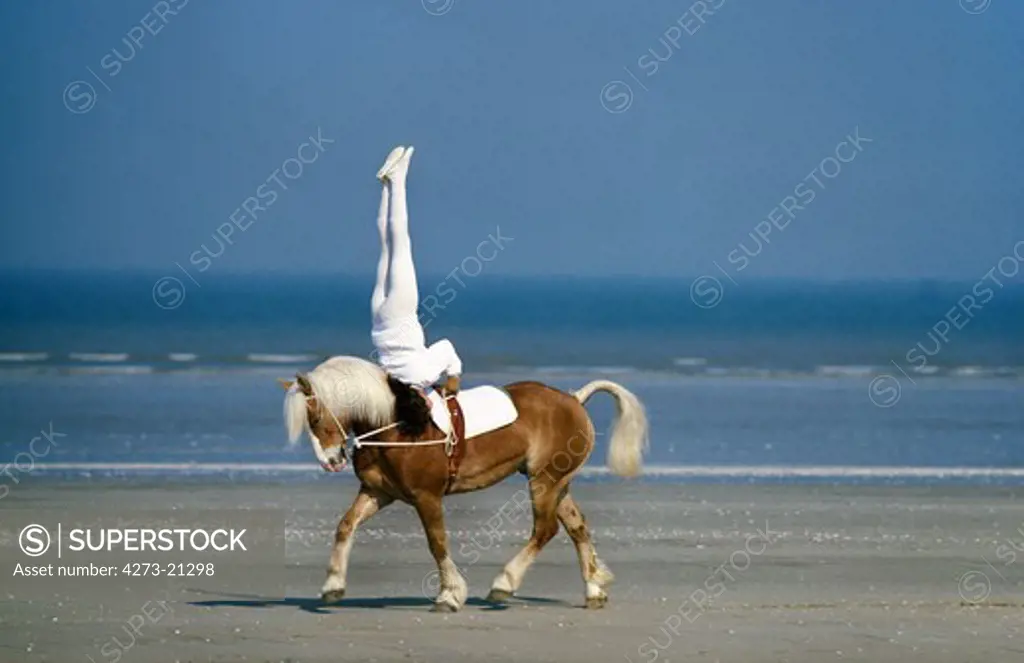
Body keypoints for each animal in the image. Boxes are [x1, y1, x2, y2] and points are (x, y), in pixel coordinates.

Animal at [280, 358, 647, 610]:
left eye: (315, 417)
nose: (331, 461)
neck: (400, 425)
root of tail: (574, 399)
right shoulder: (378, 493)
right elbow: (345, 526)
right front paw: (333, 585)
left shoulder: (427, 497)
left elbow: (437, 543)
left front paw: (450, 594)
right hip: (556, 483)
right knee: (577, 527)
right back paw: (593, 588)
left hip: (544, 482)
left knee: (545, 530)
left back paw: (504, 583)